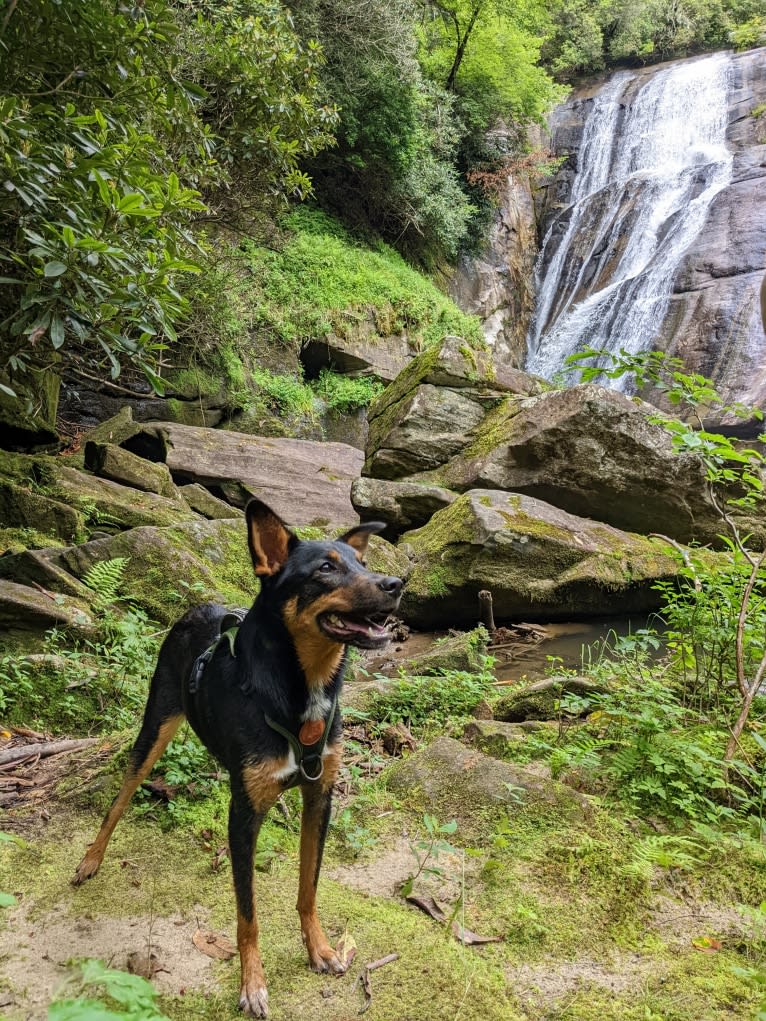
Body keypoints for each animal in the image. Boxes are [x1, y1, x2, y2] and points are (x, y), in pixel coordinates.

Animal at [74, 498, 404, 1016]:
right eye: (326, 569)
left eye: (362, 563)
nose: (395, 585)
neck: (298, 691)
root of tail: (200, 607)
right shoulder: (244, 816)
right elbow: (247, 914)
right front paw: (252, 983)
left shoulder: (320, 797)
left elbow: (308, 887)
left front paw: (319, 948)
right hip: (154, 727)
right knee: (120, 799)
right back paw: (91, 859)